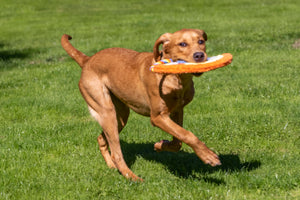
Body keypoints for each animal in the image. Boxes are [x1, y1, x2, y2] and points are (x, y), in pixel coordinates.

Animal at [61, 29, 220, 181]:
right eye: (182, 44)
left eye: (201, 41)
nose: (199, 55)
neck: (177, 79)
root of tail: (88, 60)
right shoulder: (158, 117)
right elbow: (187, 134)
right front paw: (209, 156)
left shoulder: (177, 110)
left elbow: (178, 140)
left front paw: (161, 145)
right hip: (106, 111)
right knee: (117, 154)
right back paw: (132, 177)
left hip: (121, 116)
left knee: (102, 139)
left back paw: (112, 166)